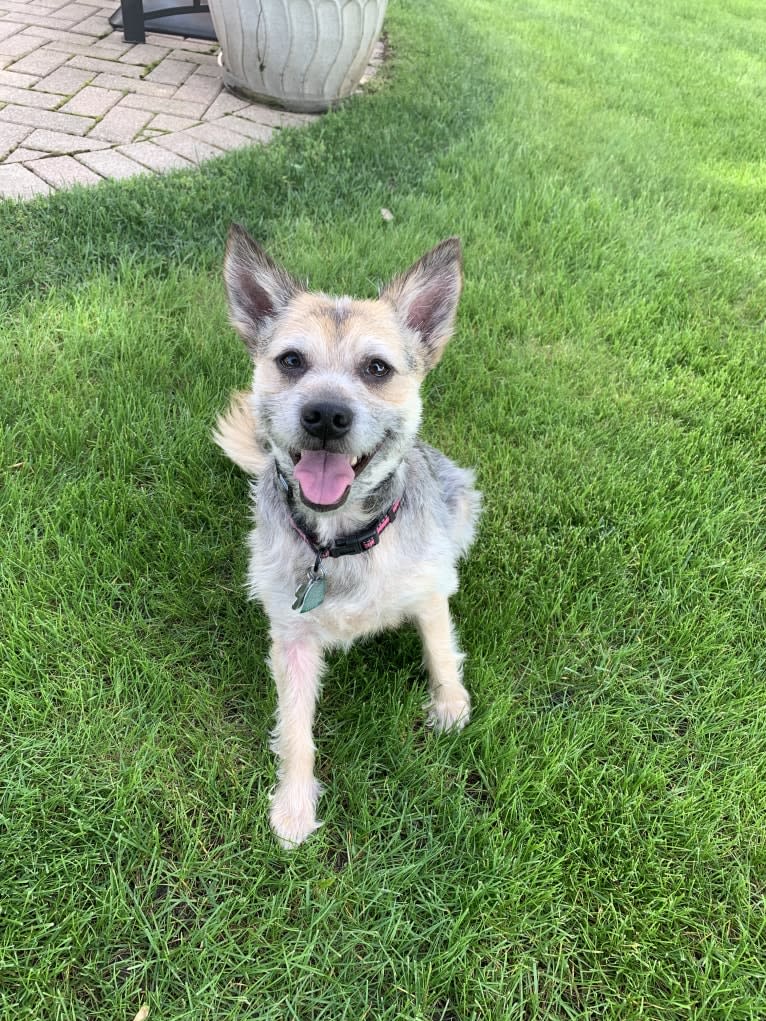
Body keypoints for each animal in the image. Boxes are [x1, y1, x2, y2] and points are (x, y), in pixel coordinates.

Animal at [216, 227, 480, 849]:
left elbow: (441, 649)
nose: (326, 415)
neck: (338, 542)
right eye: (291, 361)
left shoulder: (428, 589)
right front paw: (293, 806)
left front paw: (451, 706)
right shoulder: (290, 637)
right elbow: (295, 729)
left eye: (377, 368)